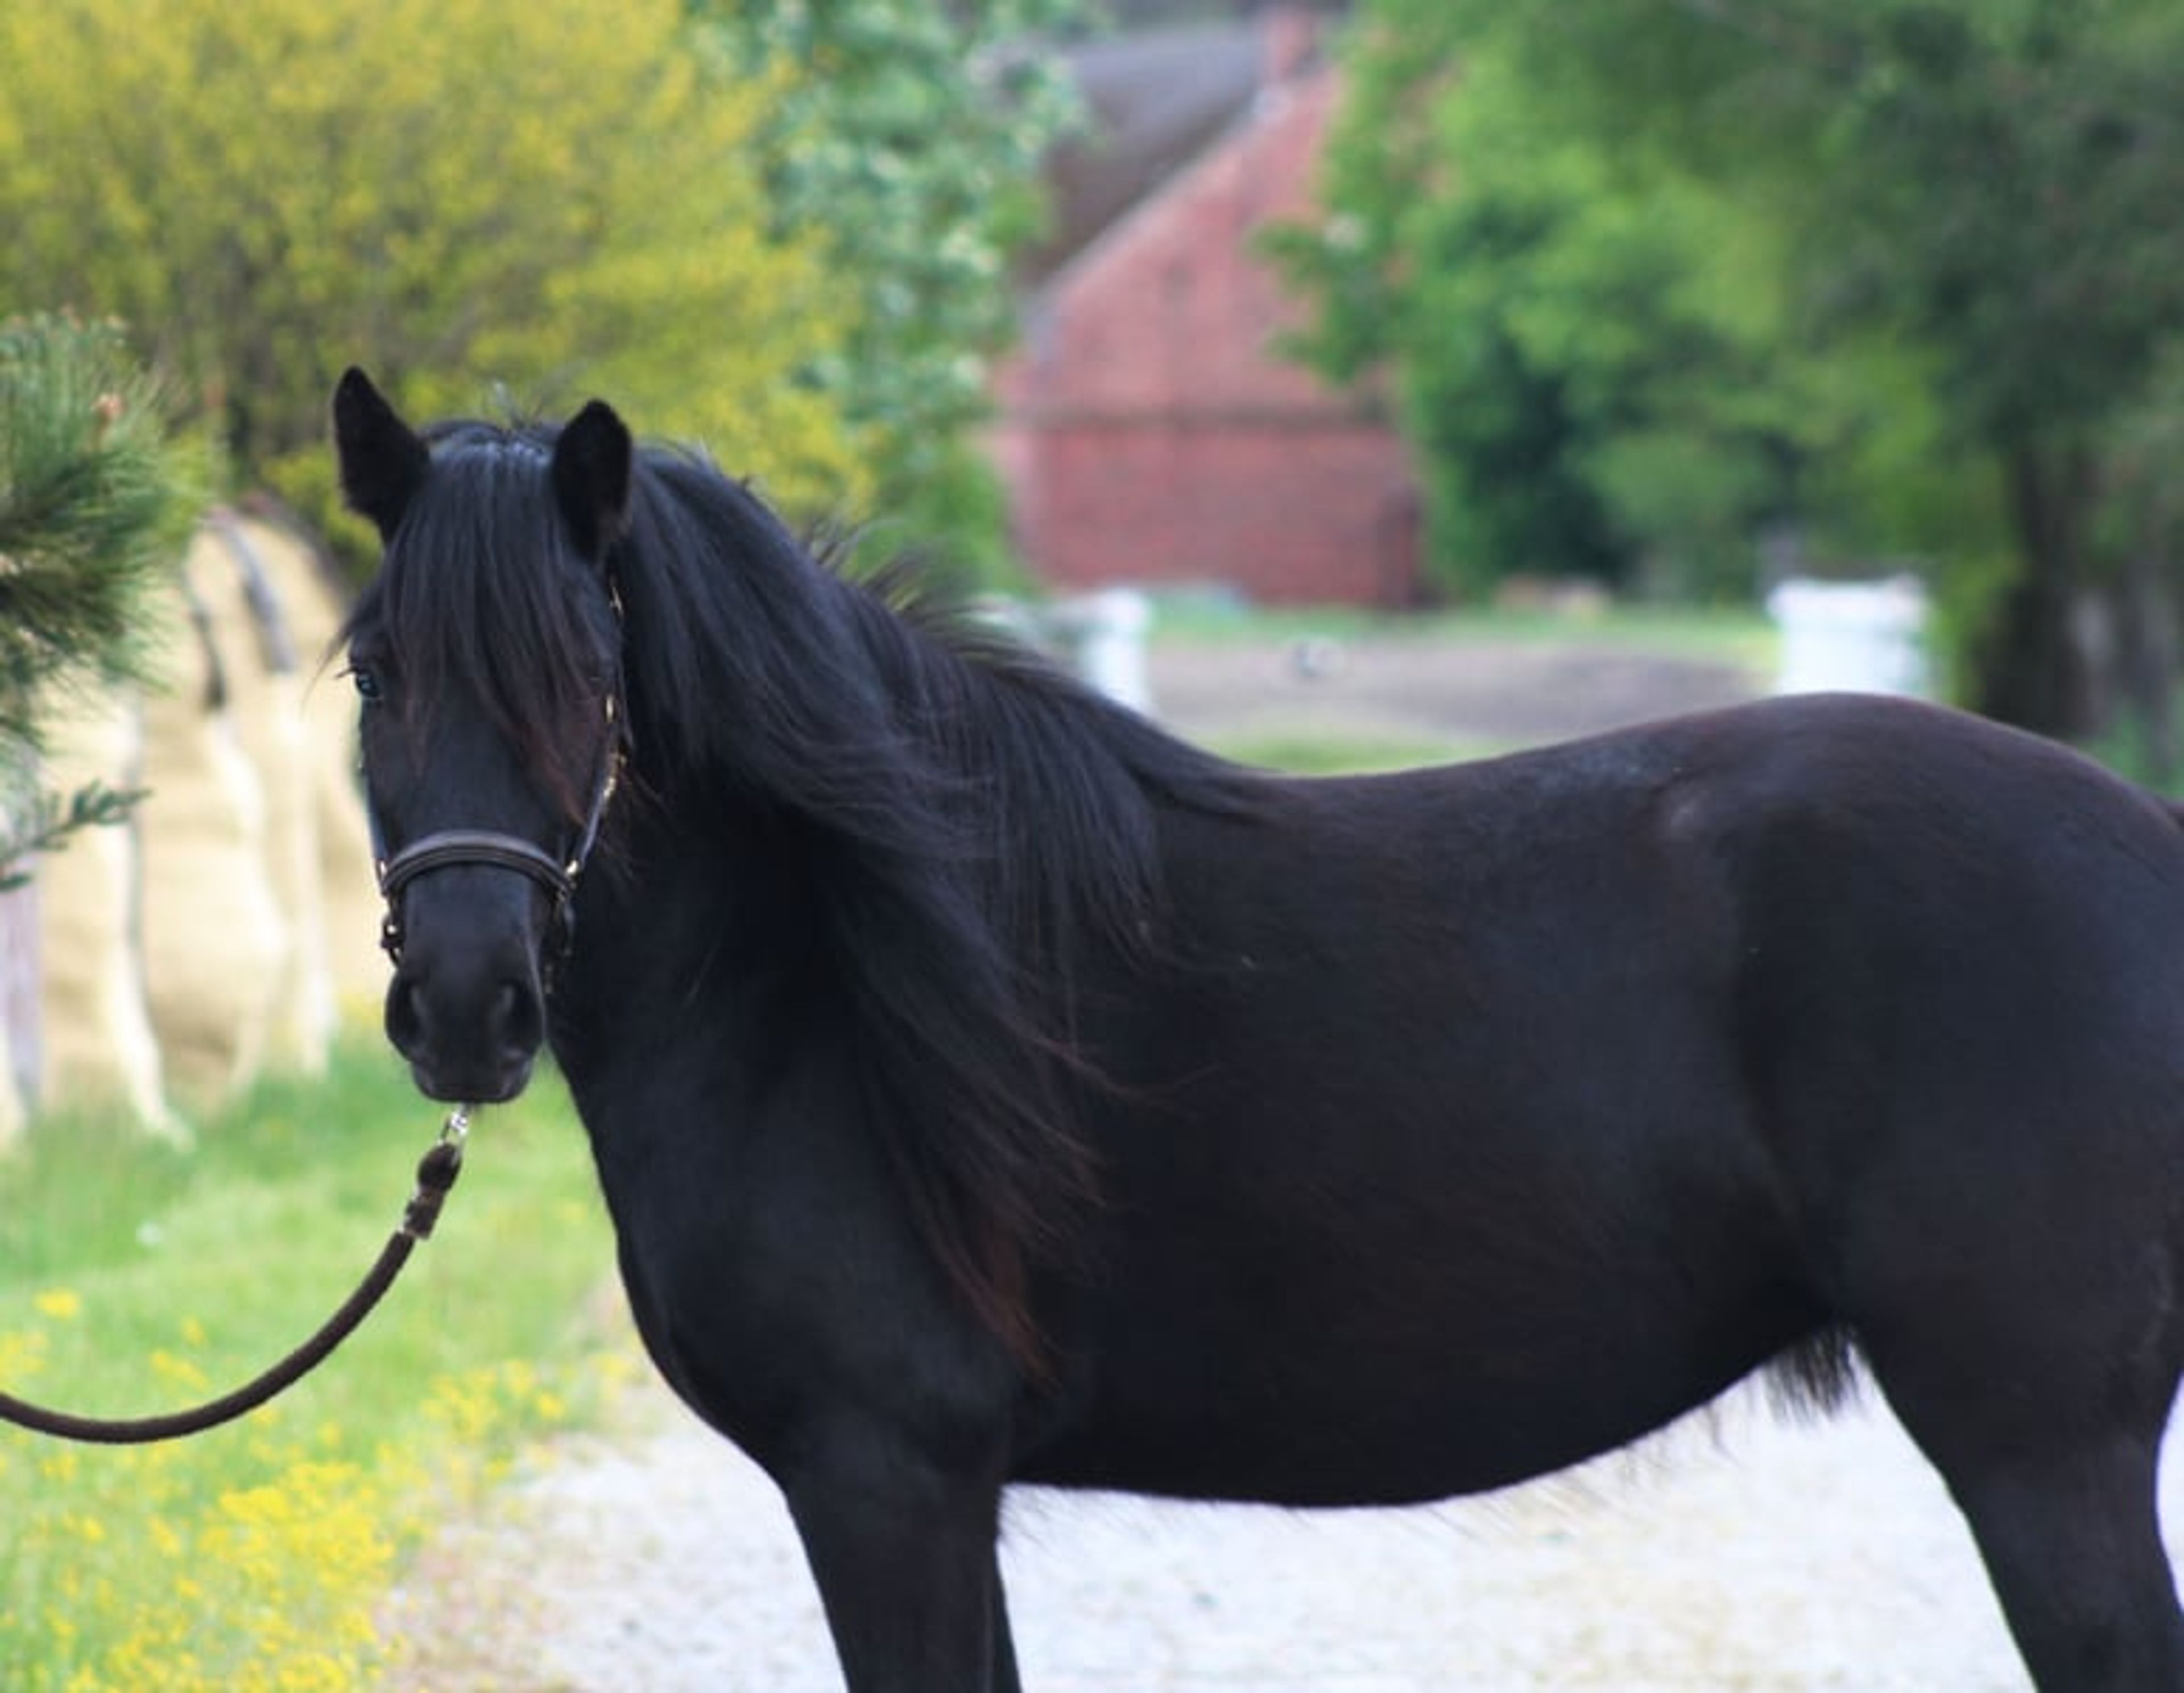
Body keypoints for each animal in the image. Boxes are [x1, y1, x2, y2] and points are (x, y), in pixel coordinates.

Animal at [331, 366, 2184, 1691]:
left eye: (587, 674)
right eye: (373, 672)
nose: (468, 1007)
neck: (822, 985)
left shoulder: (886, 1481)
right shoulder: (940, 1494)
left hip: (2043, 1452)